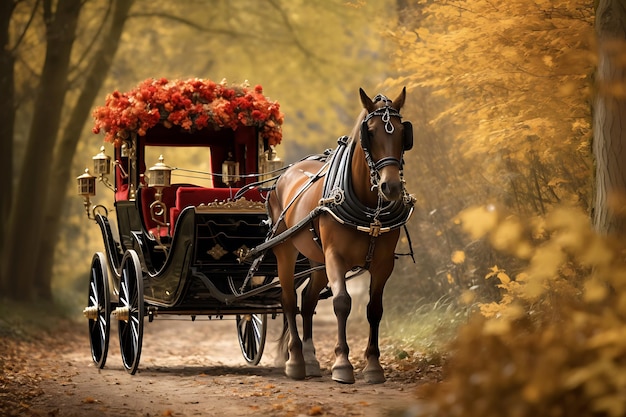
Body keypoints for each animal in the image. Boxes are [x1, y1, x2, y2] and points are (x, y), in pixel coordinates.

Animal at [266, 88, 412, 384]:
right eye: (370, 132)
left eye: (404, 132)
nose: (390, 186)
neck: (370, 211)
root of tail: (283, 176)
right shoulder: (335, 257)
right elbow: (342, 302)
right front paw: (342, 364)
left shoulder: (383, 264)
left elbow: (374, 309)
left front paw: (373, 366)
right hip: (285, 250)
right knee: (289, 300)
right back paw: (295, 360)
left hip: (317, 261)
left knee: (307, 300)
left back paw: (310, 359)